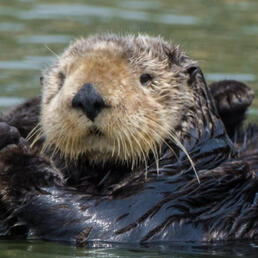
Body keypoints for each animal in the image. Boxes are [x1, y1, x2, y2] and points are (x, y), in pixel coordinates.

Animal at [0, 33, 258, 245]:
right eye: (62, 78)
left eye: (146, 78)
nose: (88, 97)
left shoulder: (169, 199)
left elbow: (106, 223)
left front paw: (15, 154)